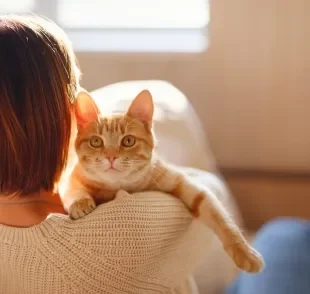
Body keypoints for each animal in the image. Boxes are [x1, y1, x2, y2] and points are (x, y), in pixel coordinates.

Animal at [63, 89, 264, 274]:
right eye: (96, 142)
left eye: (128, 140)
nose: (111, 157)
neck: (118, 185)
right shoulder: (72, 179)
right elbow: (73, 190)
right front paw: (80, 202)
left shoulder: (185, 185)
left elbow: (220, 217)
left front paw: (245, 252)